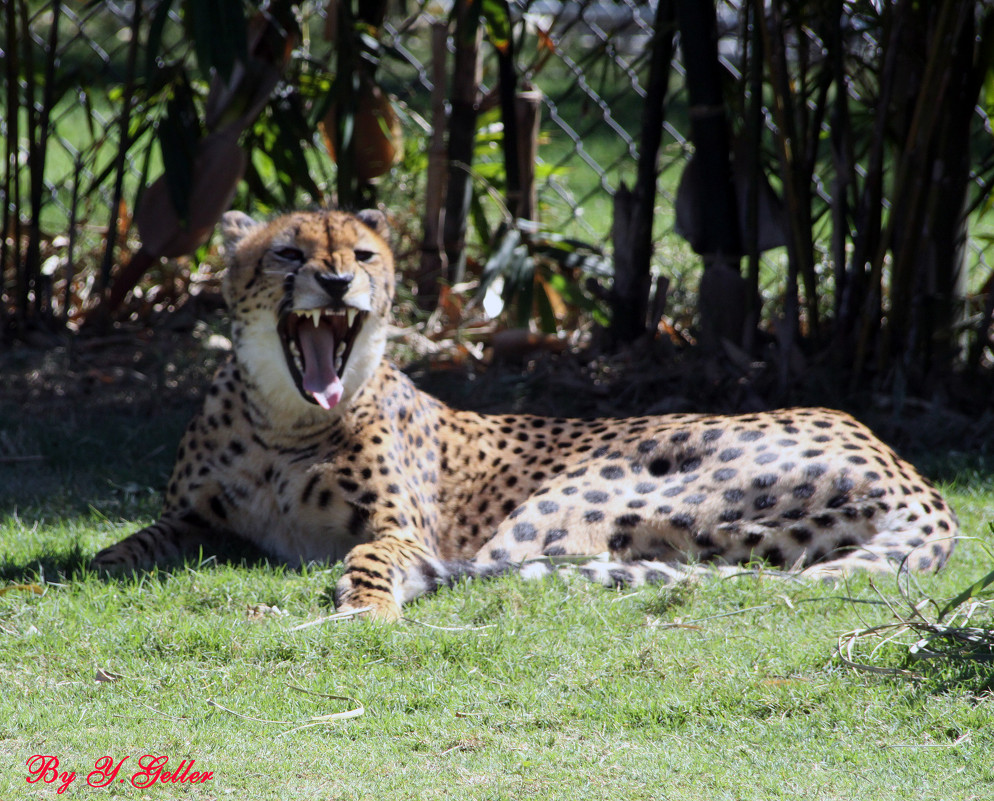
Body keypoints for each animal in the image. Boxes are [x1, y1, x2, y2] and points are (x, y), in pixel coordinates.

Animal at [91, 208, 952, 620]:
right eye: (290, 254)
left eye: (362, 255)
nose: (336, 283)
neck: (285, 422)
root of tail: (915, 476)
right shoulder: (196, 518)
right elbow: (134, 540)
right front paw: (91, 564)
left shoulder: (410, 531)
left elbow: (371, 556)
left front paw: (365, 604)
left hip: (561, 508)